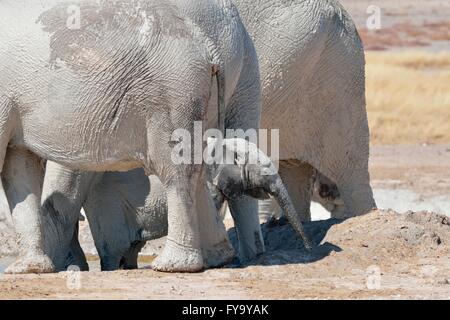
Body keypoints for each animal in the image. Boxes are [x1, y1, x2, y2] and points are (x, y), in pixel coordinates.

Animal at [0, 0, 260, 276]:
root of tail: (209, 50)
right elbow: (18, 166)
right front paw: (28, 269)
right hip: (199, 98)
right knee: (196, 168)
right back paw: (217, 259)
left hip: (172, 95)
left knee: (176, 170)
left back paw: (172, 266)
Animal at [47, 138, 312, 270]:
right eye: (263, 169)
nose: (308, 248)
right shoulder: (207, 182)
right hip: (107, 203)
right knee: (114, 249)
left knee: (132, 248)